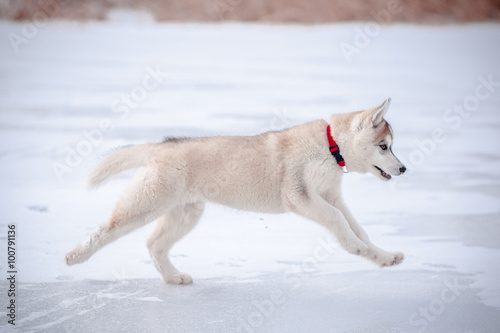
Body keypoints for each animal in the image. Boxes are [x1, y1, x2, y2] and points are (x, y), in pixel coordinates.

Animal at [65, 98, 406, 282]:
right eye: (384, 146)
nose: (403, 169)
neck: (329, 146)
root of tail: (160, 147)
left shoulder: (331, 195)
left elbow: (357, 228)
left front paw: (383, 257)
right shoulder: (300, 196)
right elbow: (338, 220)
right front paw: (355, 248)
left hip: (186, 213)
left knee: (154, 244)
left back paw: (174, 278)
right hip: (146, 204)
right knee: (106, 230)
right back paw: (74, 257)